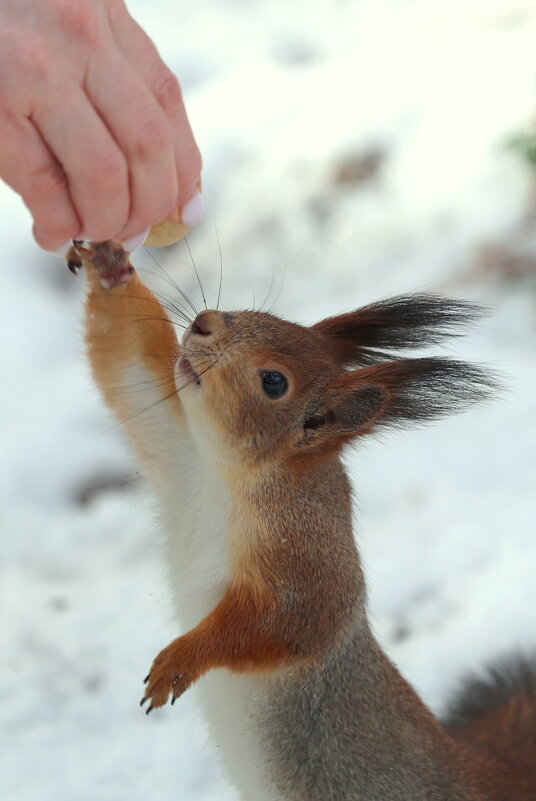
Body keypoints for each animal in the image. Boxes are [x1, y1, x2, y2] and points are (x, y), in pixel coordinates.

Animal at [72, 239, 536, 800]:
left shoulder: (304, 548)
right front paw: (108, 264)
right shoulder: (181, 449)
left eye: (274, 382)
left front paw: (179, 662)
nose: (204, 322)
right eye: (265, 314)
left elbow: (285, 621)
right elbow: (127, 367)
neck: (230, 477)